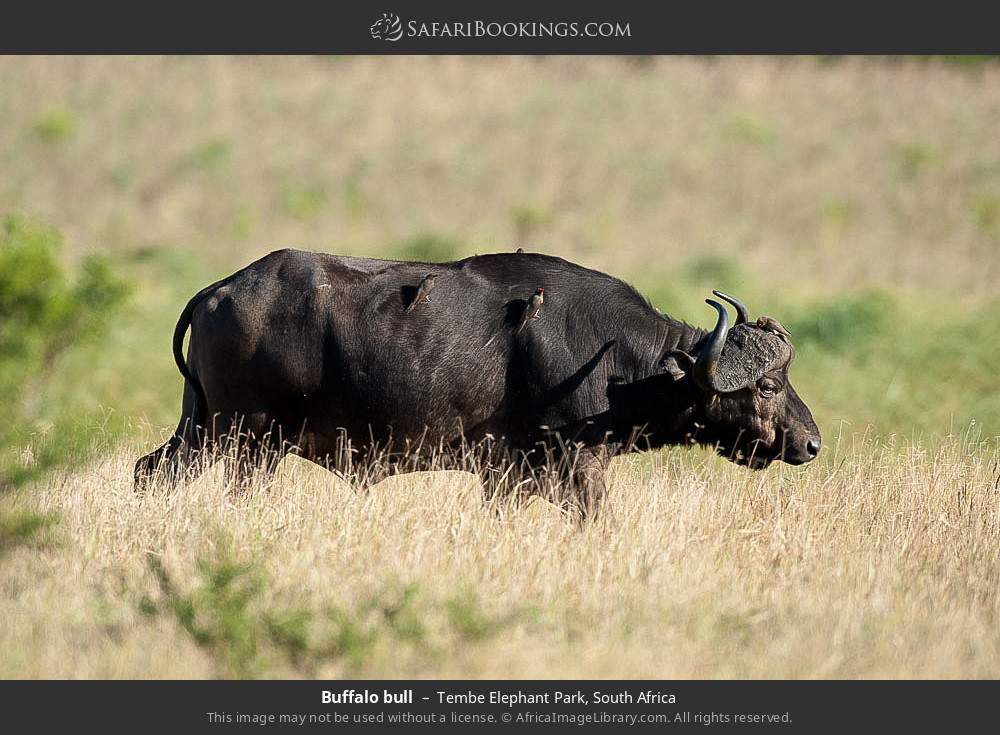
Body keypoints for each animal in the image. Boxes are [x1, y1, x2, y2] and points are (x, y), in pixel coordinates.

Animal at [134, 248, 821, 517]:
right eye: (766, 386)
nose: (810, 442)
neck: (615, 360)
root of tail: (222, 288)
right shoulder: (575, 467)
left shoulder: (506, 478)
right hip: (247, 440)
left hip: (202, 429)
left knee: (149, 471)